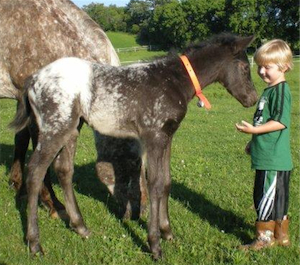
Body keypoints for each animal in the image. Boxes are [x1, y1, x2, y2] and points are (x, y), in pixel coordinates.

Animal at [11, 33, 258, 258]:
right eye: (245, 67)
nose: (252, 99)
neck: (174, 81)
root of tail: (33, 79)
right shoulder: (154, 136)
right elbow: (155, 184)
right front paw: (155, 245)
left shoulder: (167, 137)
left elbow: (166, 182)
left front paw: (168, 232)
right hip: (56, 129)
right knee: (35, 171)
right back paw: (34, 243)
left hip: (72, 128)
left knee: (63, 170)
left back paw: (80, 227)